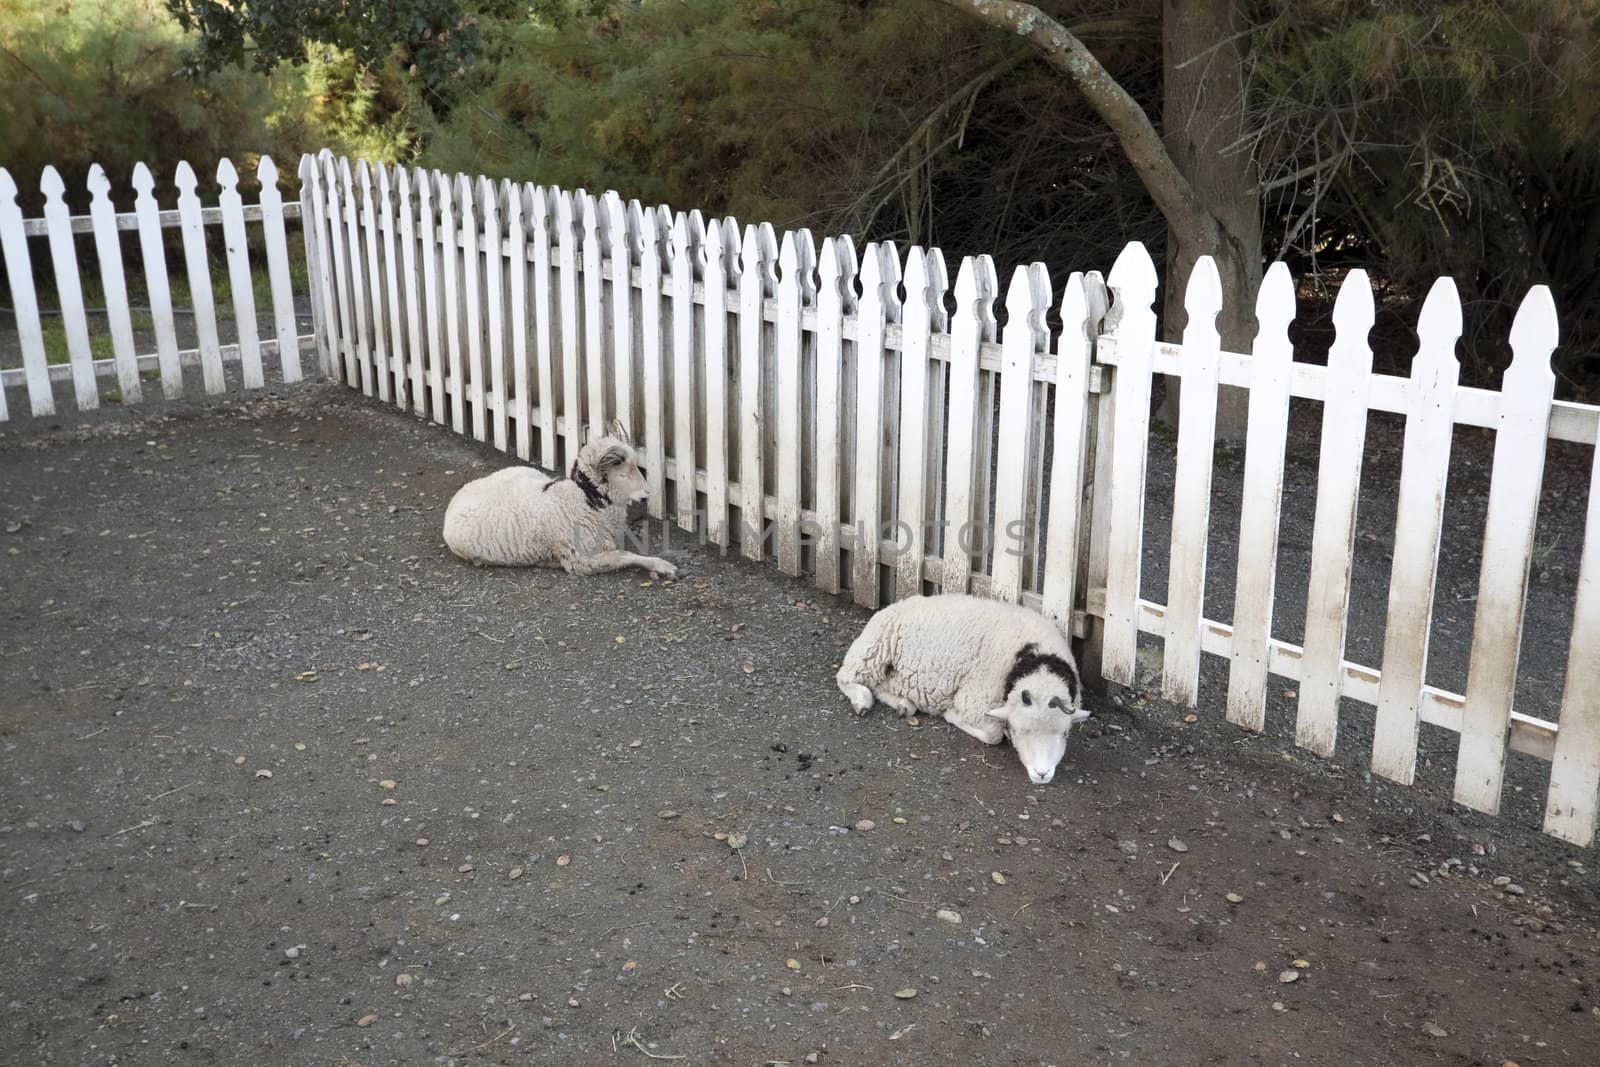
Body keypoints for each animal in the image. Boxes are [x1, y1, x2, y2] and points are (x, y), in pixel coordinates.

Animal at [441, 422, 678, 579]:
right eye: (623, 475)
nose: (647, 493)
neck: (581, 500)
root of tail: (456, 498)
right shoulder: (582, 560)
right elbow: (624, 555)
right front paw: (663, 566)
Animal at [838, 591, 1088, 783]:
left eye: (1065, 733)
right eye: (1018, 731)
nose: (1041, 774)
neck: (1035, 658)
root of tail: (892, 606)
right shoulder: (974, 701)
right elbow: (993, 735)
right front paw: (951, 715)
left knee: (879, 687)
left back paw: (904, 704)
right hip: (874, 650)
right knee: (846, 677)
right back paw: (861, 700)